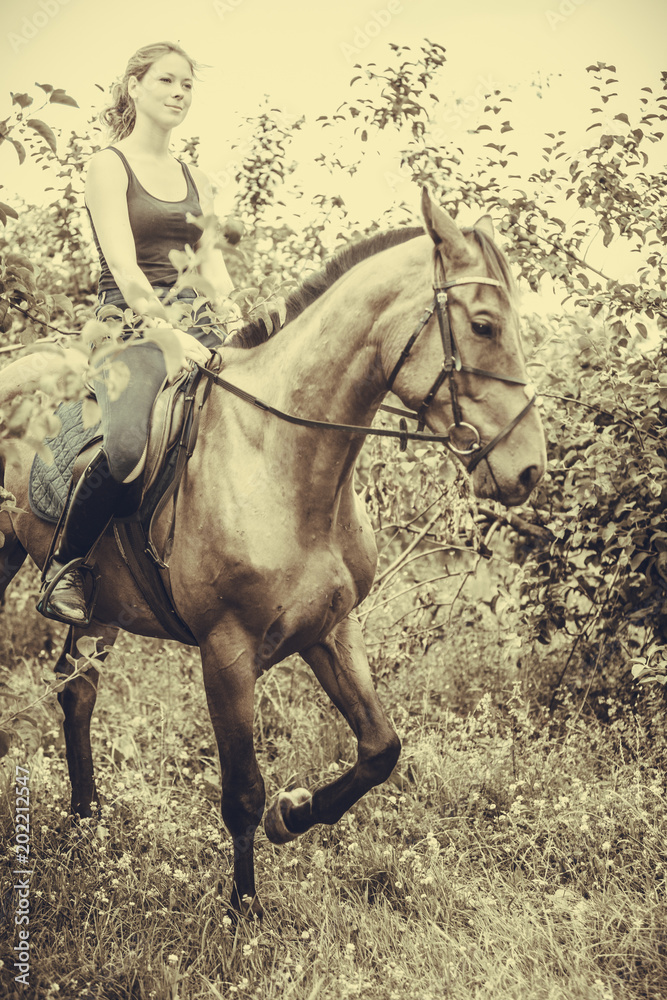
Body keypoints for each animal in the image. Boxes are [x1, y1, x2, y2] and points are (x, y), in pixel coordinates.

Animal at [0, 189, 546, 919]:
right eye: (483, 325)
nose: (527, 471)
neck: (280, 459)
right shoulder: (226, 652)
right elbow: (242, 791)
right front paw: (244, 908)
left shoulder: (331, 628)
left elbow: (381, 748)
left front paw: (297, 814)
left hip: (100, 605)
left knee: (77, 689)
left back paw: (89, 824)